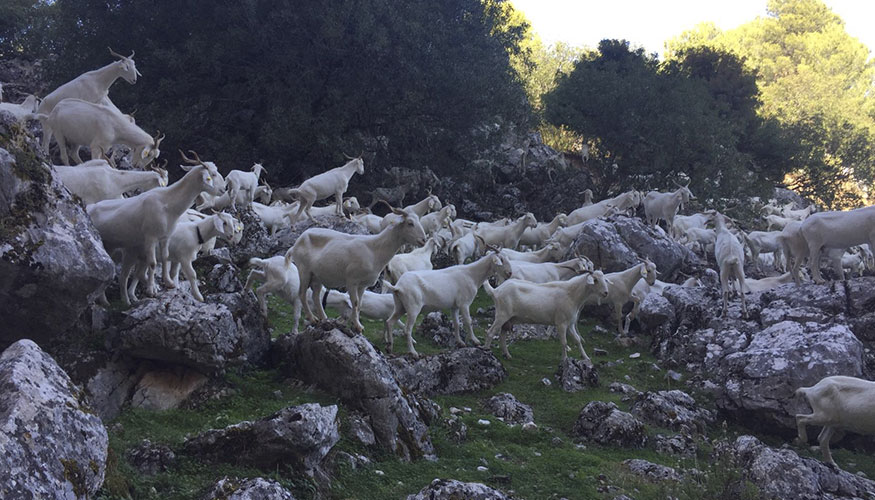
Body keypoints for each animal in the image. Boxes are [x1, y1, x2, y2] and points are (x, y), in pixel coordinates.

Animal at [480, 272, 608, 362]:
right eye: (595, 280)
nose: (606, 293)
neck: (572, 294)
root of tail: (496, 291)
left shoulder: (570, 324)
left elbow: (577, 340)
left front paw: (586, 357)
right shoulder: (561, 323)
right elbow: (564, 342)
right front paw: (565, 359)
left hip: (508, 319)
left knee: (502, 336)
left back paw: (507, 355)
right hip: (502, 314)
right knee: (490, 332)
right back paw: (486, 351)